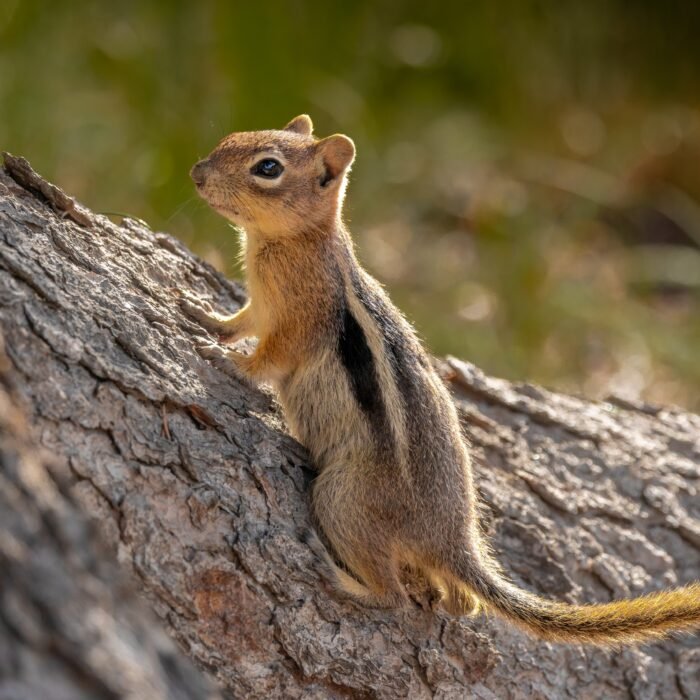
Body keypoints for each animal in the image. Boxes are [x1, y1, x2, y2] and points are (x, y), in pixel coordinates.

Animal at [184, 114, 700, 646]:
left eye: (267, 168)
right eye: (230, 139)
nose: (197, 173)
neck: (293, 241)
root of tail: (452, 540)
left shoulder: (301, 317)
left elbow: (271, 357)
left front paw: (226, 361)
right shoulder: (260, 305)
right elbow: (240, 321)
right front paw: (205, 317)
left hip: (341, 498)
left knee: (394, 597)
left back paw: (335, 575)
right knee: (458, 602)